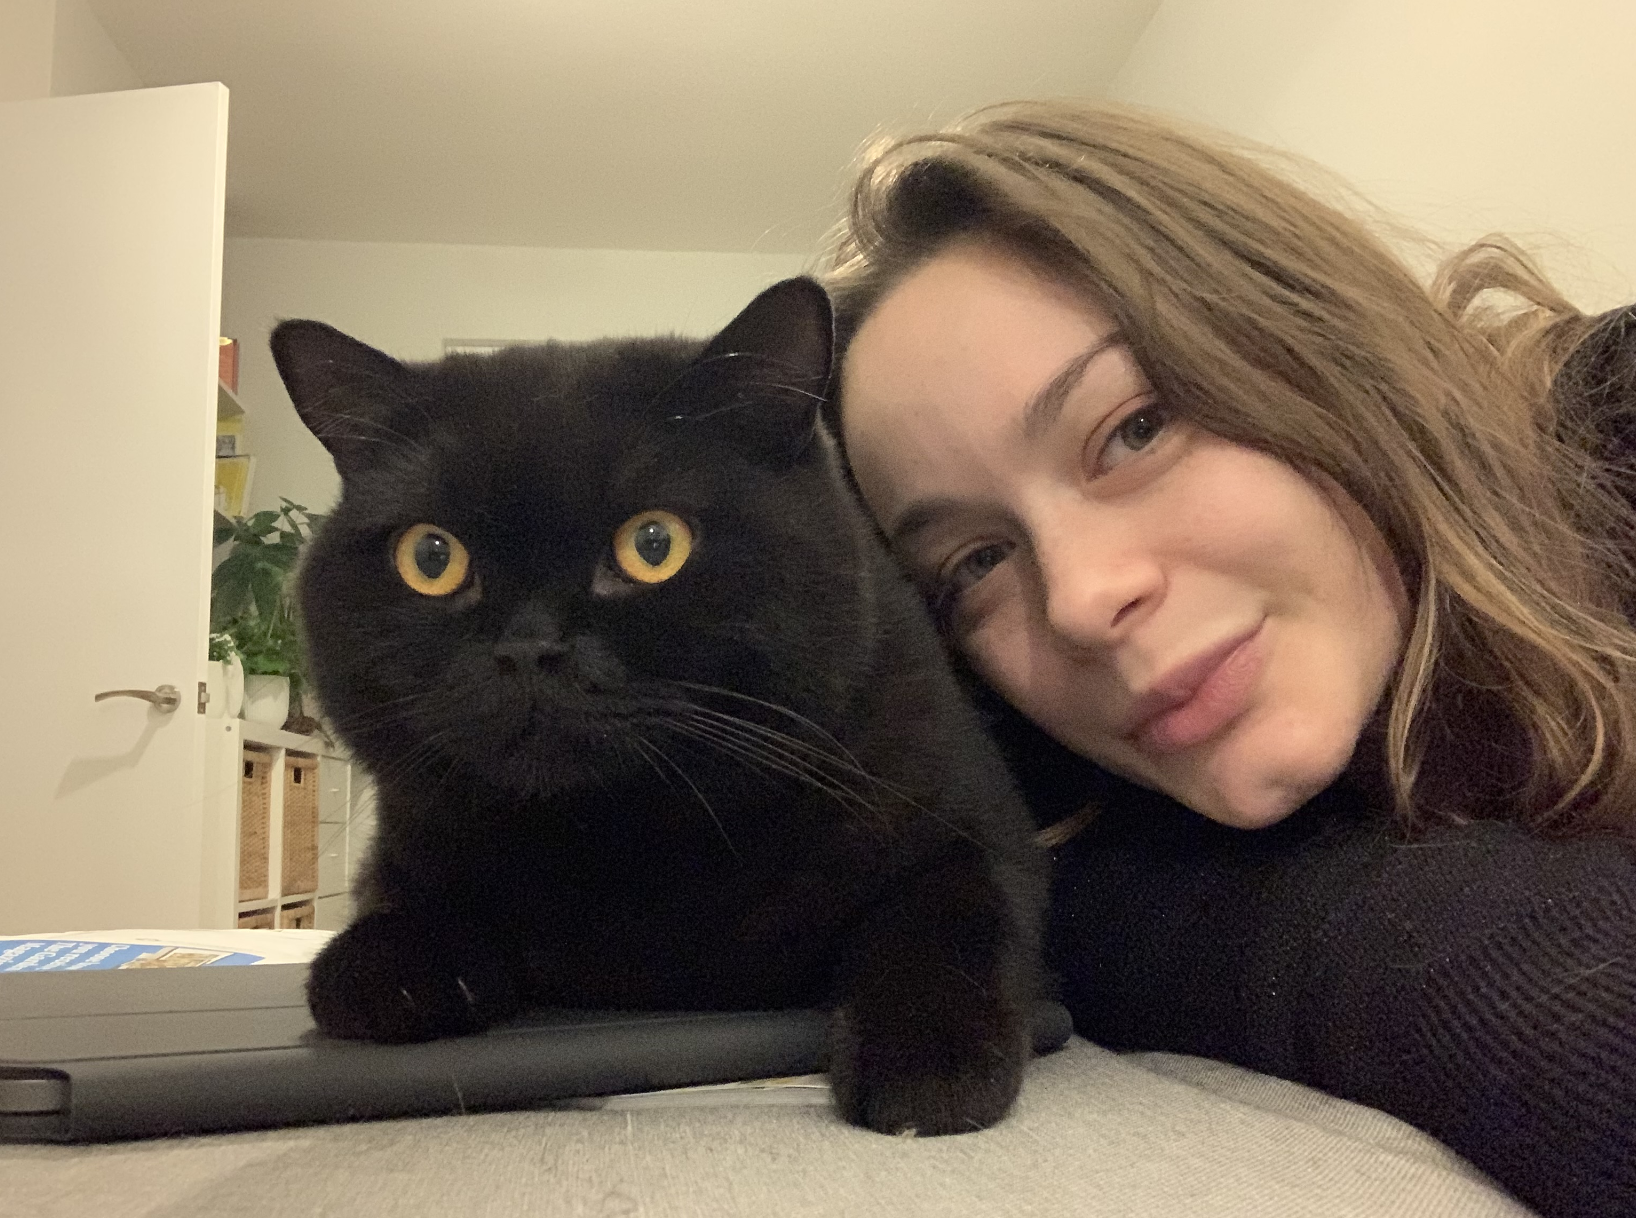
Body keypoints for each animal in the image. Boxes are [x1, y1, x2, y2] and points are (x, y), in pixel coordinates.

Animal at [270, 278, 1047, 1136]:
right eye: (431, 557)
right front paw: (393, 968)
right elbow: (391, 908)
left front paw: (928, 1059)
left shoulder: (968, 823)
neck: (620, 843)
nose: (528, 649)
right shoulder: (408, 839)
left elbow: (951, 913)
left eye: (653, 544)